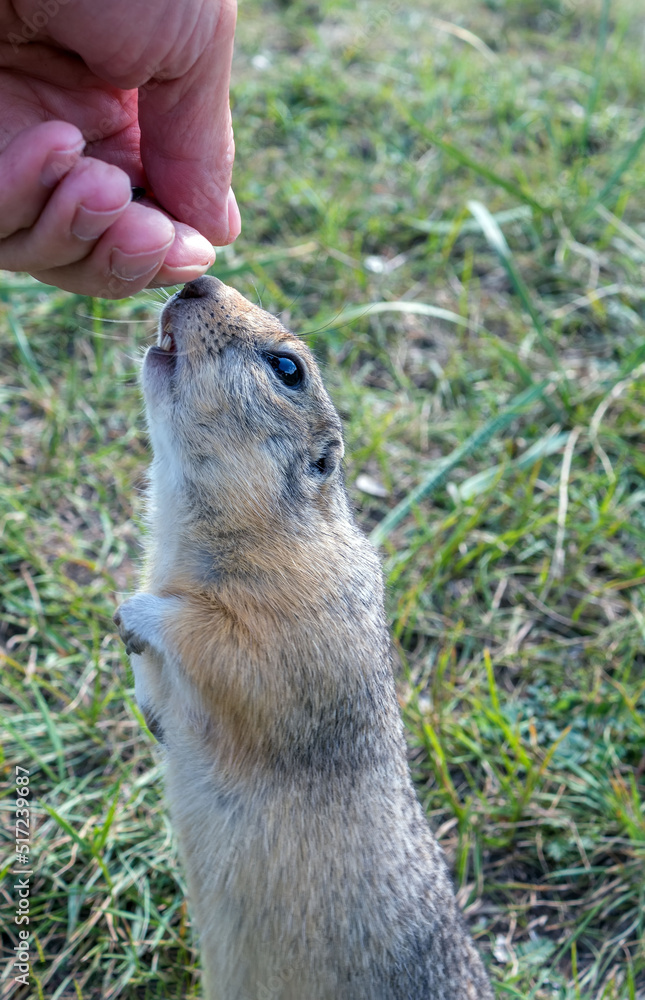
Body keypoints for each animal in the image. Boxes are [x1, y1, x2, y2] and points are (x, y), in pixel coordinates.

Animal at [114, 276, 494, 1000]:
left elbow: (232, 653)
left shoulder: (301, 619)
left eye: (288, 369)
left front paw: (134, 612)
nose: (197, 279)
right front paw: (144, 694)